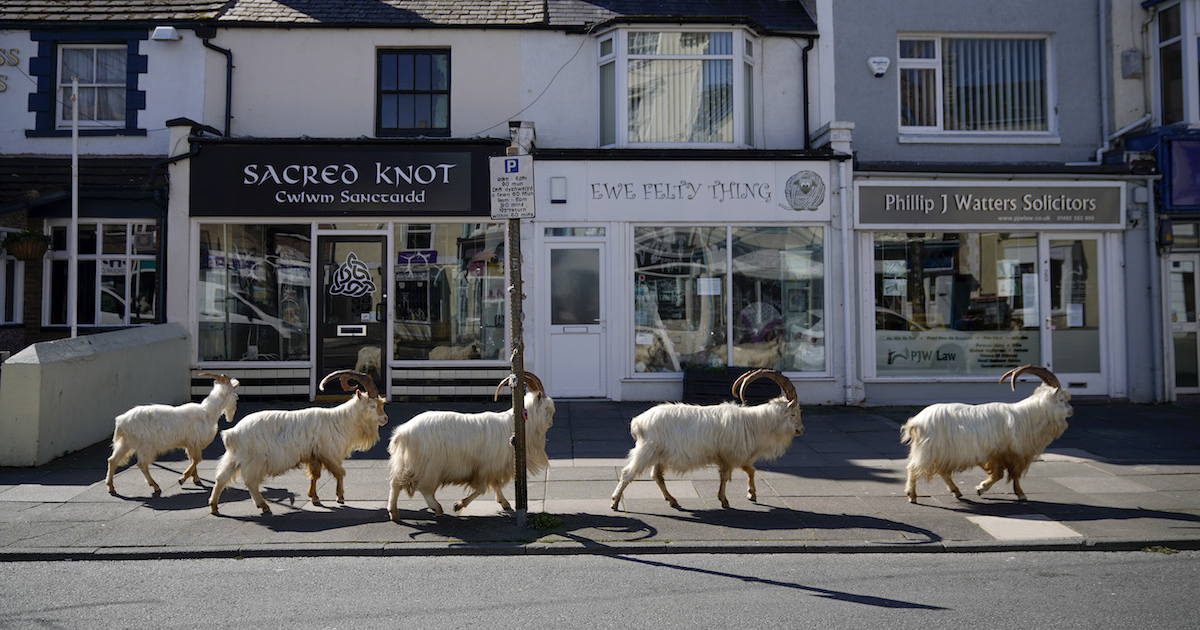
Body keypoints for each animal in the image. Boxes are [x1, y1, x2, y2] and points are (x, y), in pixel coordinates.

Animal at [106, 374, 240, 496]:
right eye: (236, 397)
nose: (232, 414)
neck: (208, 412)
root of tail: (121, 421)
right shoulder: (193, 442)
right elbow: (197, 459)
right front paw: (182, 479)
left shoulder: (190, 444)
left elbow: (193, 460)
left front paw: (195, 479)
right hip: (145, 446)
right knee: (142, 465)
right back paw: (155, 486)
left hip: (126, 443)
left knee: (113, 460)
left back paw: (111, 487)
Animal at [208, 372, 386, 513]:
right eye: (372, 405)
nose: (385, 418)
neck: (340, 421)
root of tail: (232, 433)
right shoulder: (329, 453)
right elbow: (340, 473)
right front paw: (340, 497)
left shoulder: (314, 456)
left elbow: (315, 476)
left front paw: (314, 498)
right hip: (254, 460)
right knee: (250, 482)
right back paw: (264, 506)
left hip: (234, 458)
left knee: (221, 478)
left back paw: (214, 507)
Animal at [386, 374, 554, 516]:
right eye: (546, 408)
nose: (551, 423)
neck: (515, 425)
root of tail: (402, 433)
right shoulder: (484, 468)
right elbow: (481, 488)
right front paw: (458, 505)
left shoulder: (493, 467)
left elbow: (496, 484)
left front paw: (504, 503)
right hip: (429, 466)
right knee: (423, 488)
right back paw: (436, 508)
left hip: (409, 463)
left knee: (396, 482)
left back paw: (394, 512)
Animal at [609, 369, 806, 511]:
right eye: (793, 413)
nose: (801, 429)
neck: (754, 423)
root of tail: (638, 422)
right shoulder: (730, 455)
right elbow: (727, 477)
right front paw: (725, 500)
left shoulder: (734, 456)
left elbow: (750, 470)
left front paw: (751, 494)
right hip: (647, 451)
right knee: (628, 473)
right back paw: (615, 502)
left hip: (660, 455)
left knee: (657, 476)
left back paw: (672, 500)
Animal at [897, 360, 1075, 504]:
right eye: (1061, 399)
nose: (1071, 411)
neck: (1026, 417)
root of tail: (916, 421)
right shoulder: (1004, 453)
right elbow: (1003, 475)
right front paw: (984, 488)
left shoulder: (1008, 455)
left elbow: (1010, 475)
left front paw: (1017, 493)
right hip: (930, 451)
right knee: (913, 468)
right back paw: (912, 495)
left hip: (942, 453)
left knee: (942, 471)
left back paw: (956, 491)